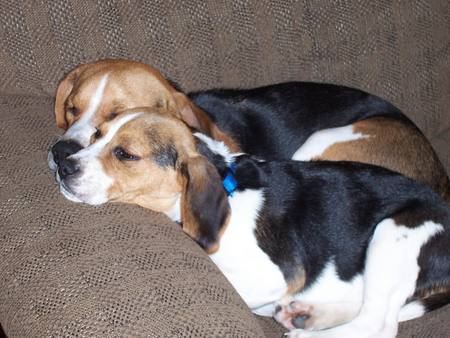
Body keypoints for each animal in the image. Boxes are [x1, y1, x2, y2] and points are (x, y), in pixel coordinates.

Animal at [55, 109, 450, 338]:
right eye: (96, 134)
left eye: (125, 154)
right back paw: (307, 316)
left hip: (394, 233)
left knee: (378, 325)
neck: (227, 186)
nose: (63, 165)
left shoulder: (274, 276)